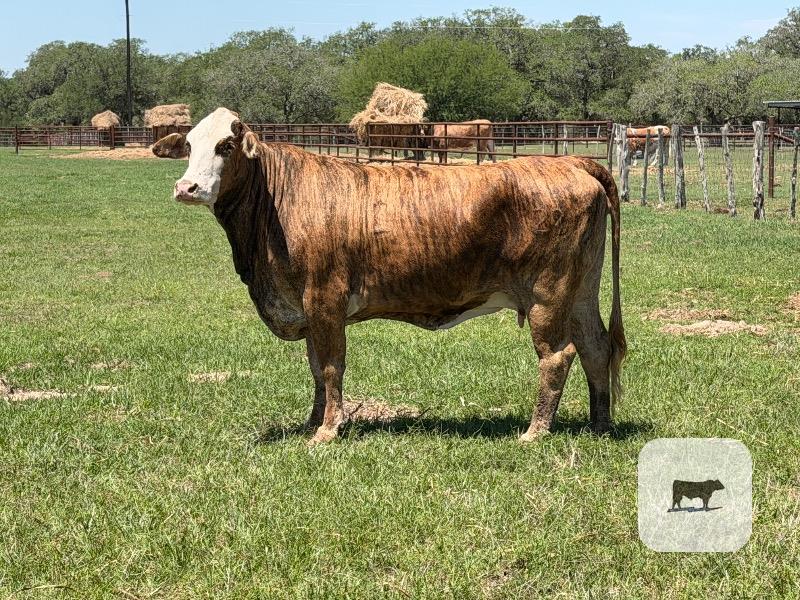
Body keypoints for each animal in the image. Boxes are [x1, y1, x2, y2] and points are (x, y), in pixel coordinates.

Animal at [154, 107, 626, 446]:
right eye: (189, 145)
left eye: (225, 145)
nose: (186, 188)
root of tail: (572, 162)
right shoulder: (306, 307)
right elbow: (315, 368)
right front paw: (312, 422)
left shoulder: (324, 299)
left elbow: (331, 367)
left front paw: (328, 431)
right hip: (581, 291)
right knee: (596, 347)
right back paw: (599, 424)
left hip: (548, 294)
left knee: (558, 356)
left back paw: (535, 432)